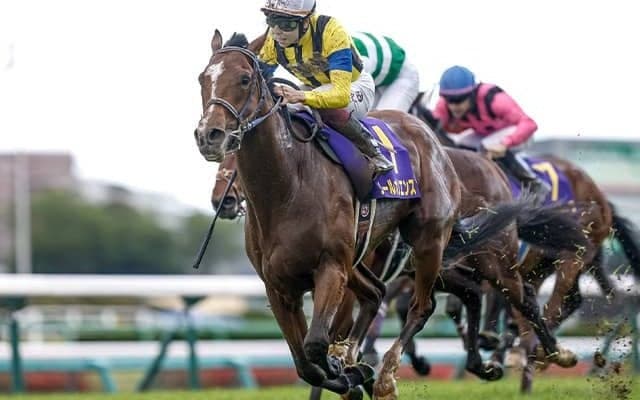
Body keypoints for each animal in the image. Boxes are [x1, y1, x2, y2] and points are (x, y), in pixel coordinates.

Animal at [196, 30, 550, 399]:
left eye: (244, 78)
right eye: (202, 79)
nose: (210, 136)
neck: (286, 188)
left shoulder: (332, 267)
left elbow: (318, 344)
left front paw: (350, 370)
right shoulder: (279, 286)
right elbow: (306, 363)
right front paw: (348, 371)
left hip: (445, 246)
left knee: (454, 302)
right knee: (413, 293)